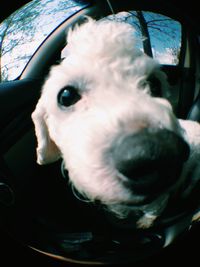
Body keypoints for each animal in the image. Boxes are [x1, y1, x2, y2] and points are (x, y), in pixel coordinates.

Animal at [31, 18, 200, 230]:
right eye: (66, 96)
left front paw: (146, 221)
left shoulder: (159, 199)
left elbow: (154, 209)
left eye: (154, 83)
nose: (154, 154)